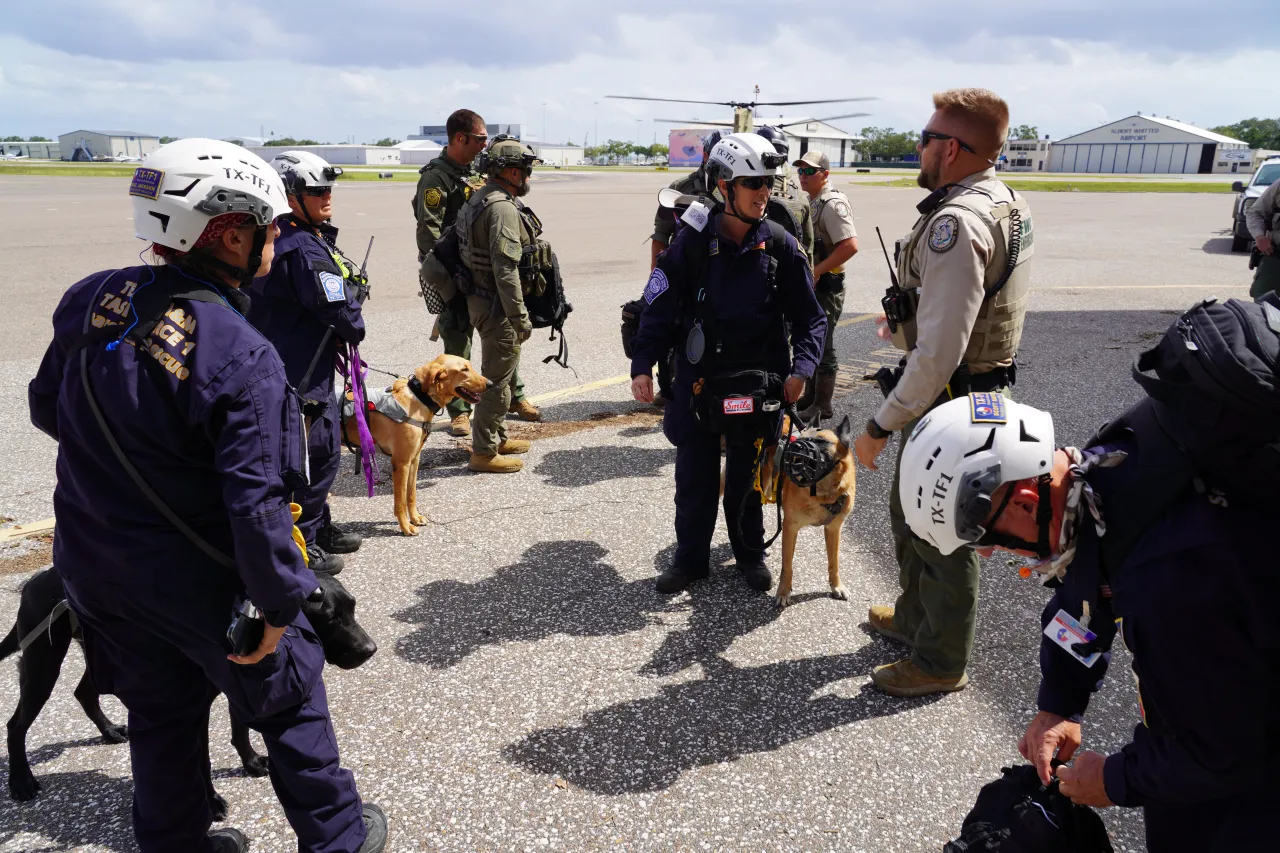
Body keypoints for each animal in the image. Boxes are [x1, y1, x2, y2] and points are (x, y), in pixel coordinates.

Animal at [3, 563, 373, 809]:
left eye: (354, 608)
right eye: (331, 617)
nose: (371, 649)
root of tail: (32, 582)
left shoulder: (241, 682)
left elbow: (240, 730)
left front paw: (251, 762)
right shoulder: (196, 710)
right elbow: (202, 762)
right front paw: (211, 802)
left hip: (100, 657)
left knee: (83, 692)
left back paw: (109, 731)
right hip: (42, 664)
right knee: (15, 724)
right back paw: (21, 781)